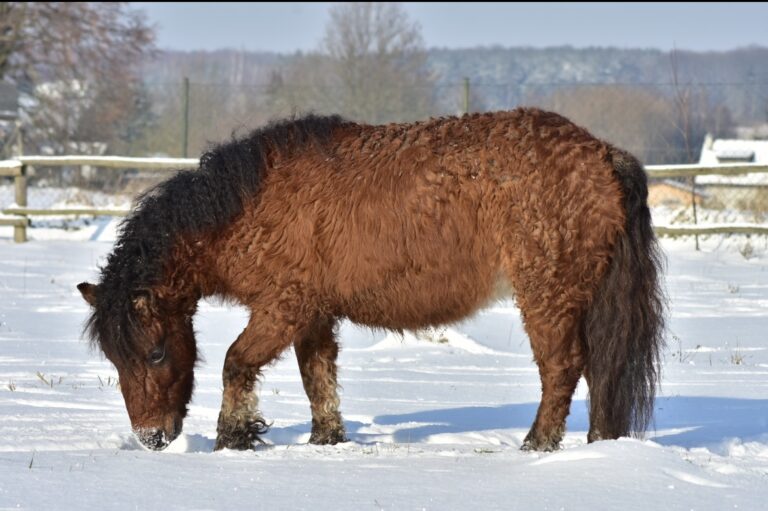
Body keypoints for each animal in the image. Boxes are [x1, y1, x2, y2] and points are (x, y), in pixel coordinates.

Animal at [77, 108, 665, 452]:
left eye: (155, 353)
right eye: (115, 358)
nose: (151, 439)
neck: (247, 203)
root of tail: (602, 153)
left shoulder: (283, 309)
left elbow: (235, 364)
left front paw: (234, 437)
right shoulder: (313, 316)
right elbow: (317, 378)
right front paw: (326, 441)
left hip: (547, 294)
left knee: (563, 368)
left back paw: (538, 445)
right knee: (600, 370)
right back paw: (600, 446)